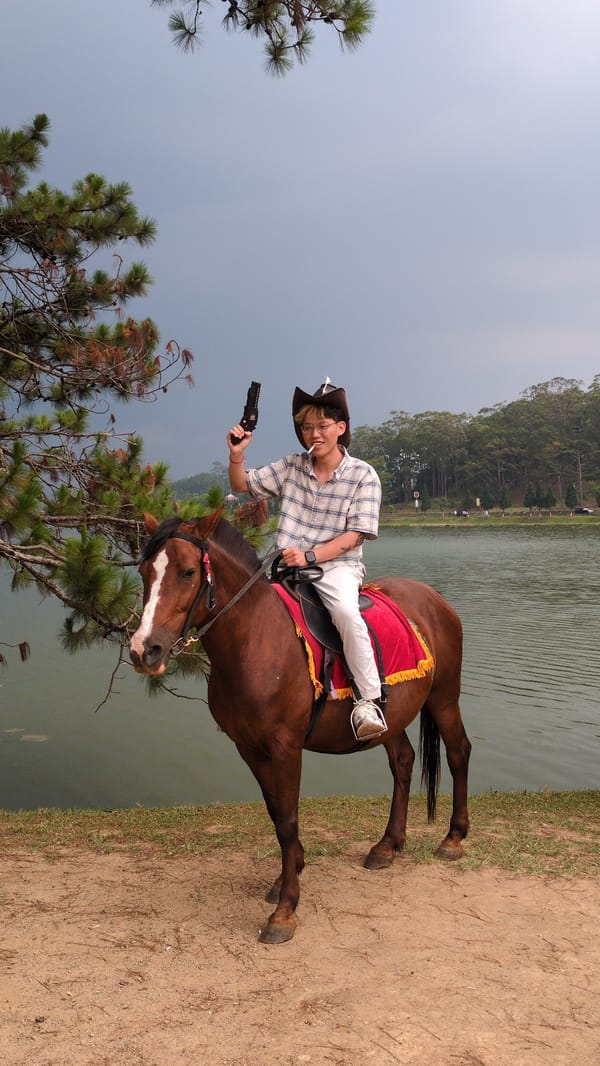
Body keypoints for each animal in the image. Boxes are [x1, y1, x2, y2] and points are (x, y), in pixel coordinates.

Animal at [129, 508, 471, 944]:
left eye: (188, 572)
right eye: (144, 572)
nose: (144, 650)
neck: (256, 640)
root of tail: (434, 599)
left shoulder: (285, 746)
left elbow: (289, 818)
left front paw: (285, 910)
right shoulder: (249, 748)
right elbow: (277, 814)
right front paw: (286, 877)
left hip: (444, 697)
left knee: (458, 751)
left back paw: (453, 838)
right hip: (393, 718)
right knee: (404, 762)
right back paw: (388, 844)